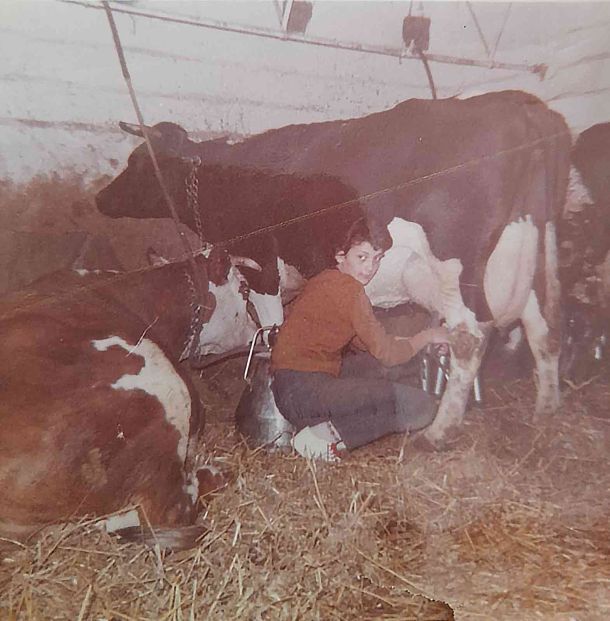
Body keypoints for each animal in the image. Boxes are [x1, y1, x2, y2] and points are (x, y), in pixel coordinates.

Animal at [92, 89, 568, 444]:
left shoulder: (261, 263)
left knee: (469, 338)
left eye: (136, 160)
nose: (99, 198)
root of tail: (521, 107)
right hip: (524, 258)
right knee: (543, 331)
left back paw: (438, 432)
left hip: (458, 266)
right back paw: (545, 412)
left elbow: (271, 331)